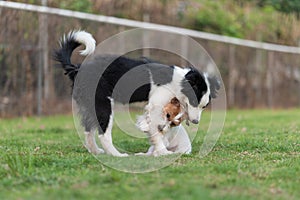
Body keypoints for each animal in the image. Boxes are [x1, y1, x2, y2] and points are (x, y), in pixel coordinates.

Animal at [54, 30, 219, 157]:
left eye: (204, 106)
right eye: (194, 102)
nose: (196, 122)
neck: (179, 82)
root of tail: (77, 68)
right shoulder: (156, 107)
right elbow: (157, 132)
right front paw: (163, 152)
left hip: (91, 106)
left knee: (88, 130)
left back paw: (96, 151)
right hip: (103, 106)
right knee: (103, 133)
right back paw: (116, 155)